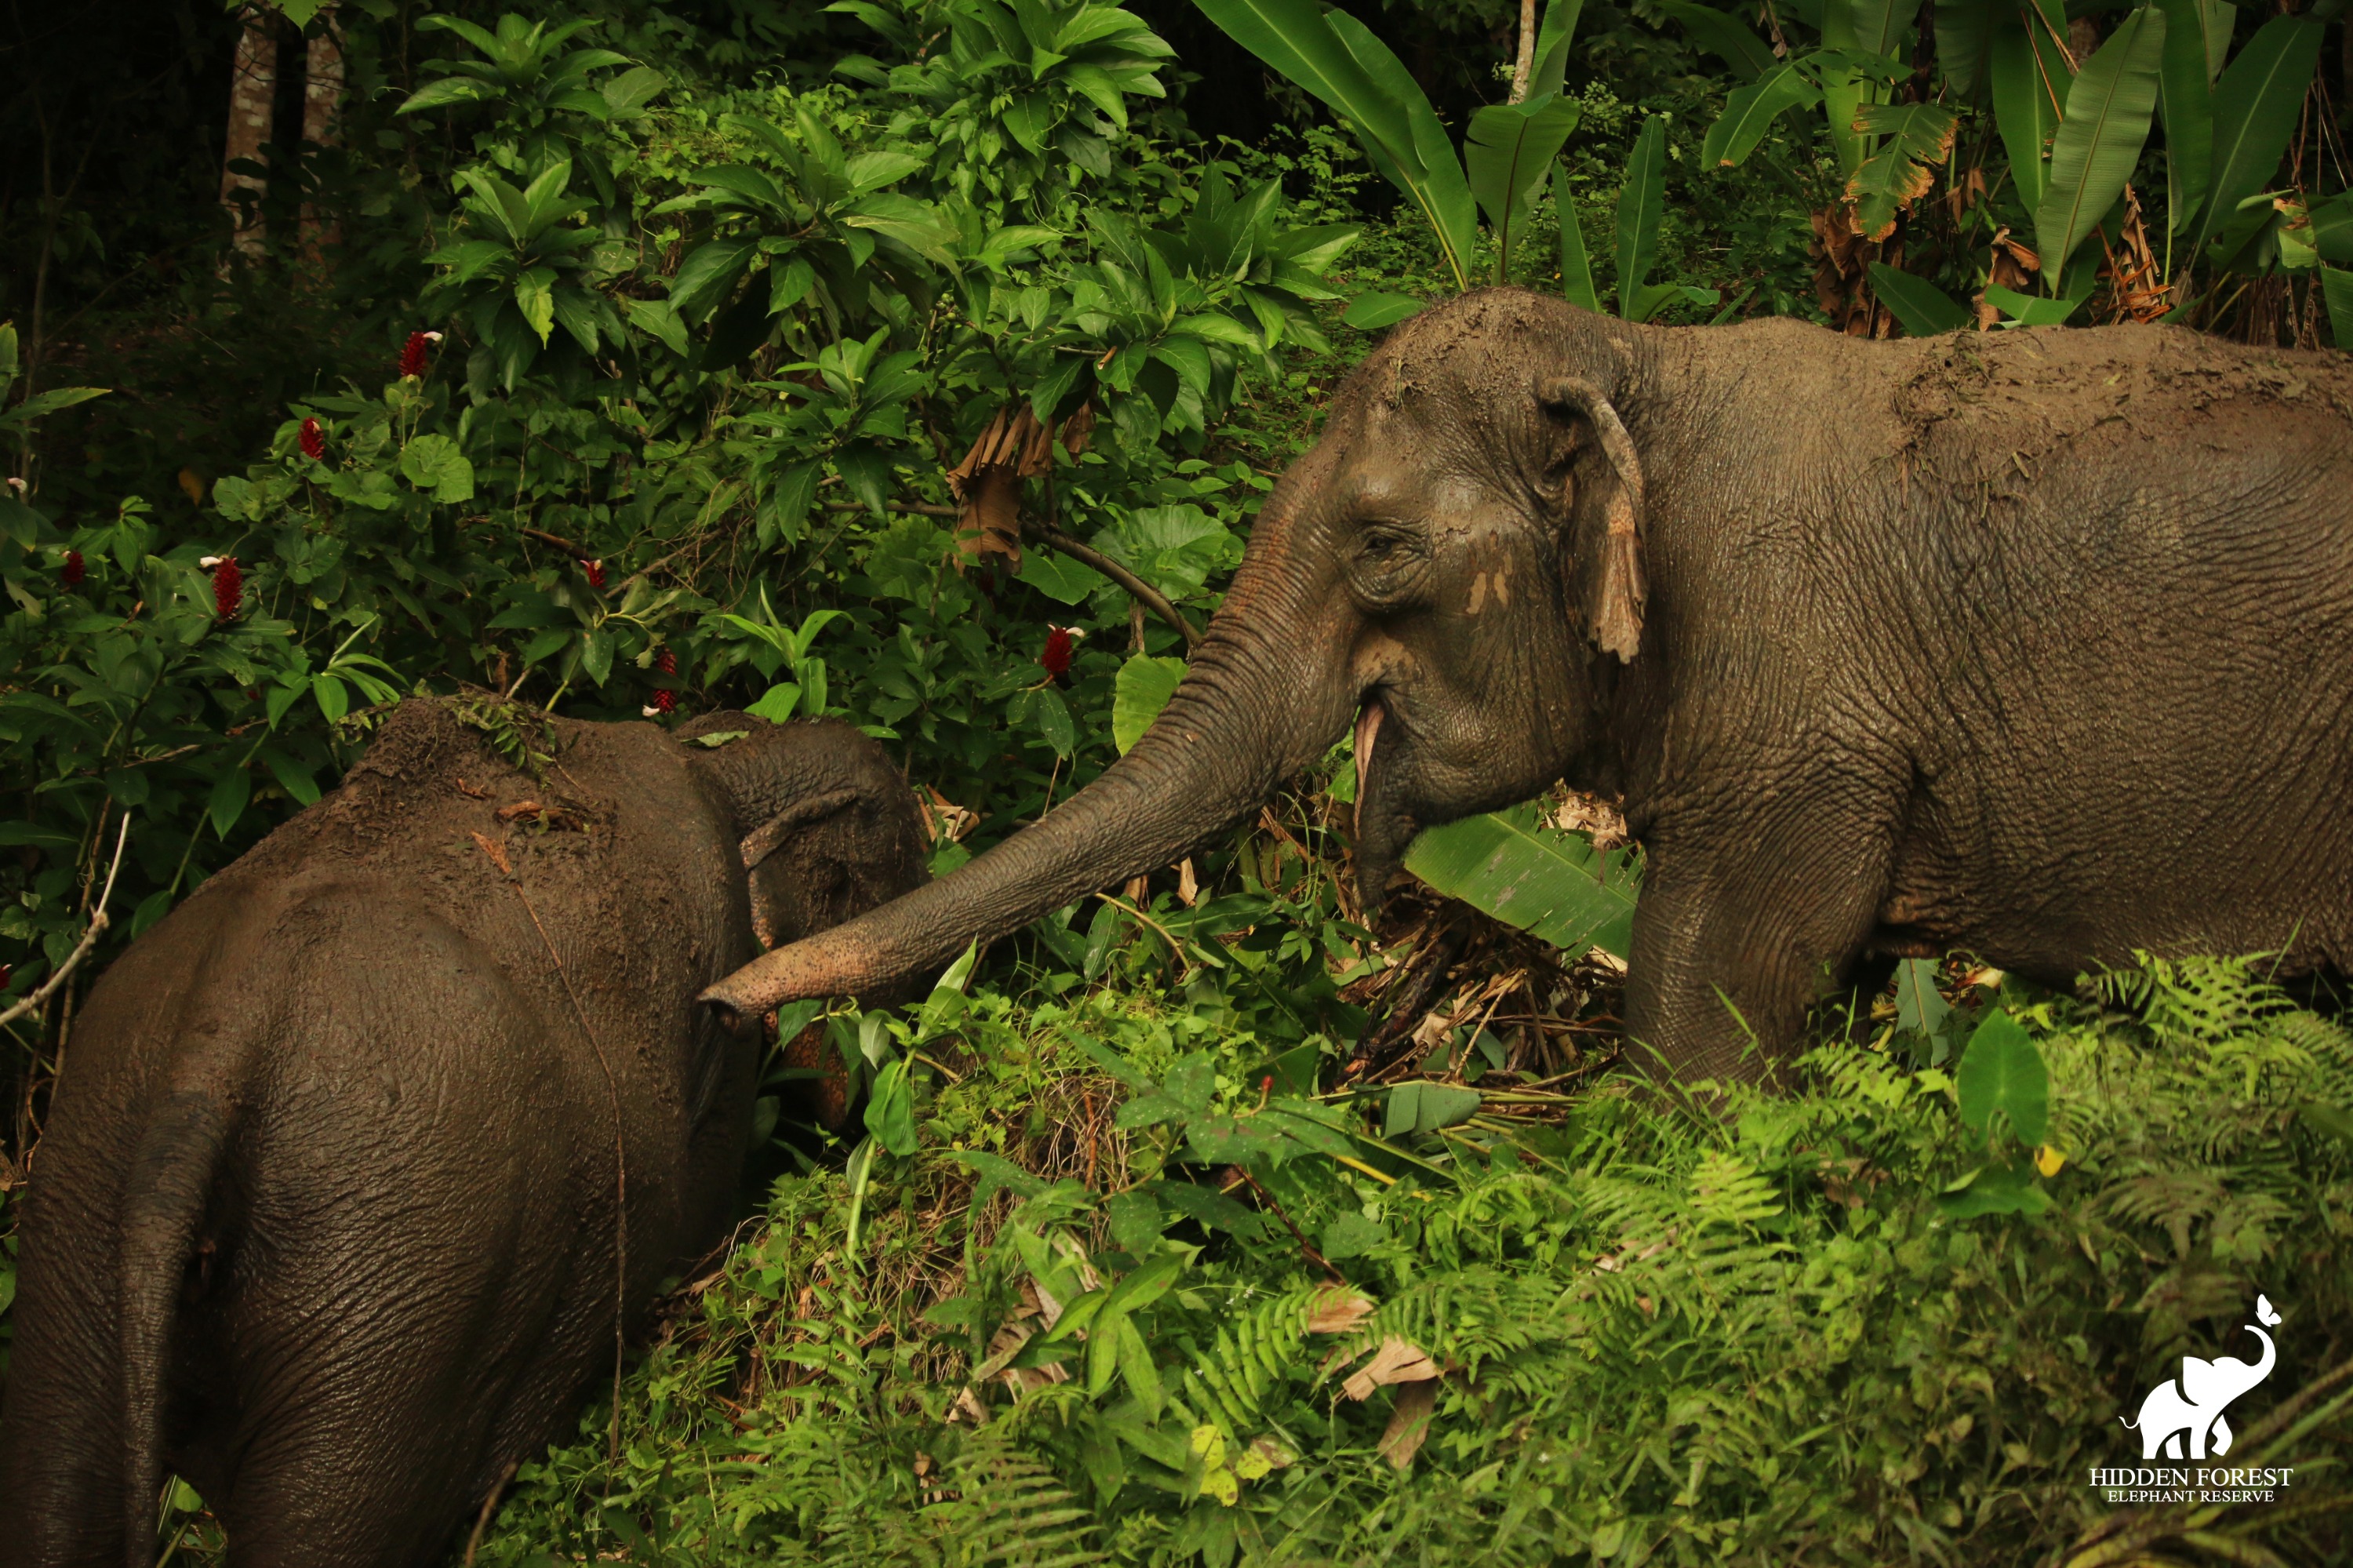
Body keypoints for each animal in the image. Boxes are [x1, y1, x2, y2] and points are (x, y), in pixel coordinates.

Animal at [0, 697, 932, 1563]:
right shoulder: (717, 1038)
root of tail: (215, 1045)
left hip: (86, 1193)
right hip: (395, 1257)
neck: (726, 761)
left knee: (60, 1485)